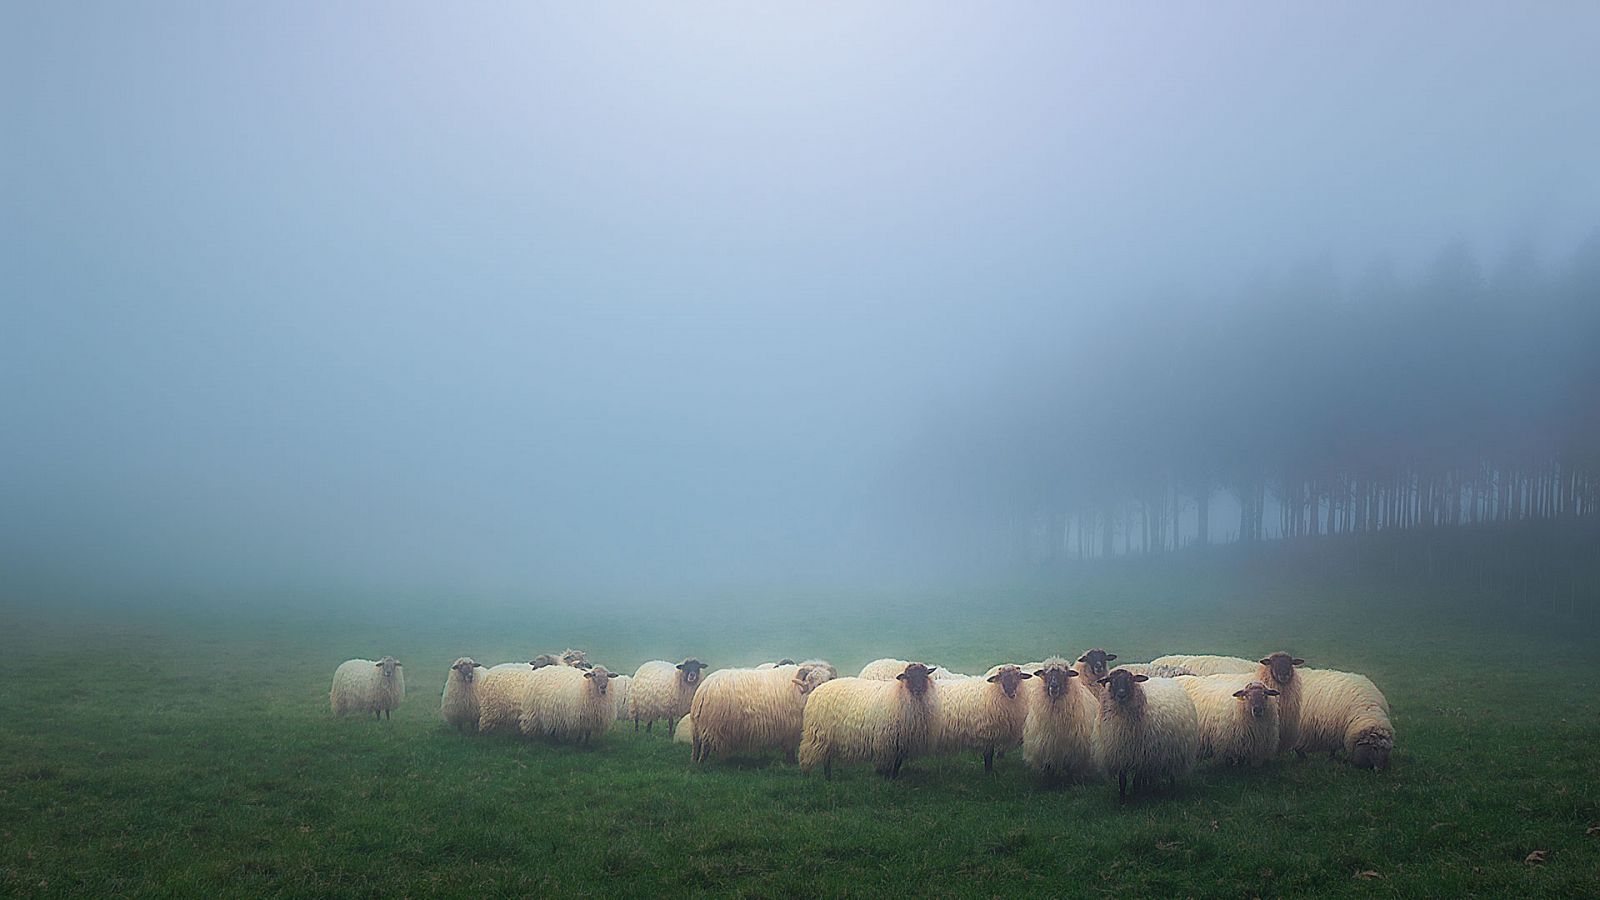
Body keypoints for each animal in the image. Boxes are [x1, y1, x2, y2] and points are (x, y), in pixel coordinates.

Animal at [688, 662, 838, 759]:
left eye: (827, 680)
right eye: (811, 680)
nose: (820, 692)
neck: (799, 692)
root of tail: (704, 688)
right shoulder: (791, 728)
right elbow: (790, 750)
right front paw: (791, 763)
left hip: (698, 725)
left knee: (696, 745)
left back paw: (695, 763)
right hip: (711, 725)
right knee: (705, 747)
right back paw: (703, 764)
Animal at [796, 656, 940, 775]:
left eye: (924, 676)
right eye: (908, 677)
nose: (918, 690)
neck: (899, 694)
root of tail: (817, 690)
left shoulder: (901, 742)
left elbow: (897, 764)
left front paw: (894, 778)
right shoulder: (886, 741)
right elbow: (888, 765)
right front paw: (886, 778)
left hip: (828, 736)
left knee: (827, 759)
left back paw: (828, 778)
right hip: (817, 734)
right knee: (807, 755)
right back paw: (808, 776)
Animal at [1024, 650, 1100, 778]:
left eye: (1064, 673)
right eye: (1046, 673)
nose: (1054, 686)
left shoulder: (1072, 750)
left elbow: (1070, 770)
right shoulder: (1046, 747)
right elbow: (1049, 770)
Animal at [1100, 666, 1203, 797]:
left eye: (1130, 680)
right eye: (1112, 681)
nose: (1121, 694)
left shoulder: (1141, 755)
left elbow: (1136, 781)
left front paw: (1137, 796)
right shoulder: (1121, 754)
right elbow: (1122, 782)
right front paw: (1122, 799)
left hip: (1174, 751)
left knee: (1172, 774)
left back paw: (1172, 789)